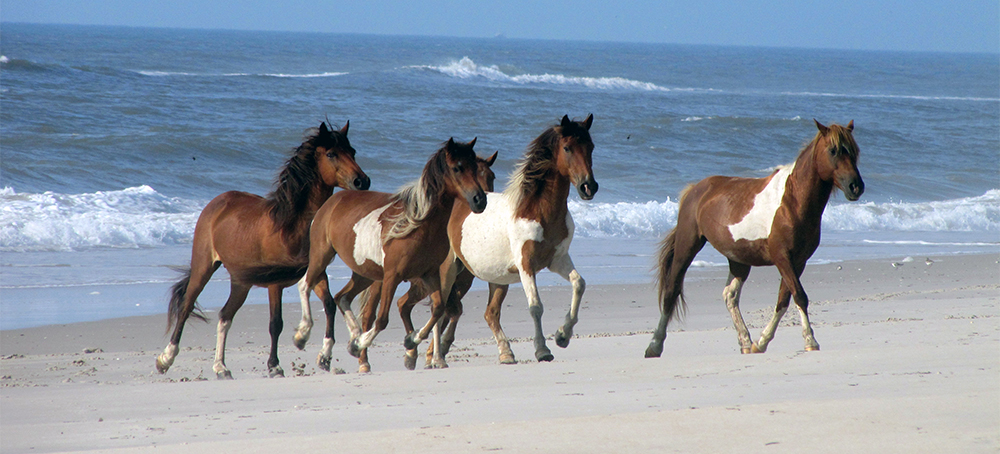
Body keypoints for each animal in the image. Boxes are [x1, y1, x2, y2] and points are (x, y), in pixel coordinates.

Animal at [156, 121, 372, 380]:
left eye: (352, 152)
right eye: (331, 154)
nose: (362, 182)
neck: (291, 226)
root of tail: (217, 202)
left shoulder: (317, 272)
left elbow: (329, 305)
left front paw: (324, 355)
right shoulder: (275, 283)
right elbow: (275, 323)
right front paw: (276, 365)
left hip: (241, 282)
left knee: (225, 316)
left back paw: (221, 368)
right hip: (204, 267)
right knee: (187, 306)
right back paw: (166, 359)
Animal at [448, 114, 600, 366]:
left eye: (591, 147)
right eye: (567, 148)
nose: (589, 187)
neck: (536, 212)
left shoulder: (558, 259)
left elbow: (579, 284)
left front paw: (562, 335)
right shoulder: (526, 265)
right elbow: (536, 306)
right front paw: (542, 350)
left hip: (496, 279)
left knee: (487, 312)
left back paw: (504, 353)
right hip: (456, 273)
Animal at [644, 120, 864, 358]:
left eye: (855, 151)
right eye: (833, 150)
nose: (856, 187)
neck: (792, 202)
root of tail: (695, 189)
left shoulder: (798, 261)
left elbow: (784, 299)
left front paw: (761, 342)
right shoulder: (782, 257)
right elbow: (799, 295)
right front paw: (810, 340)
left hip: (738, 259)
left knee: (729, 296)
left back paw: (745, 342)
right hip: (687, 246)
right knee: (672, 290)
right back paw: (654, 345)